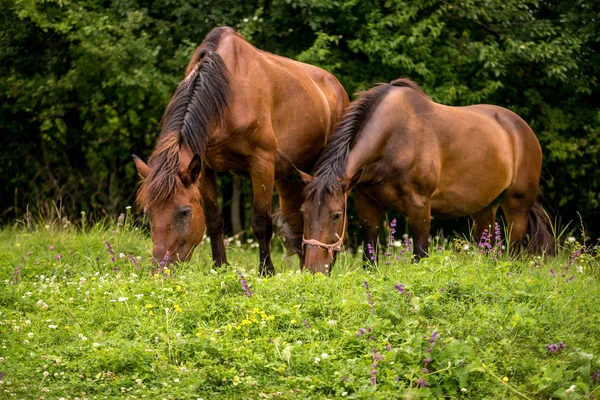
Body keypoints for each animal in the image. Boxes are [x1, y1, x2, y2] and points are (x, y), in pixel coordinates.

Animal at [131, 26, 346, 274]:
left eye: (184, 212)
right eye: (149, 212)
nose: (160, 269)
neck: (229, 90)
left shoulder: (261, 164)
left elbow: (261, 222)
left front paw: (266, 271)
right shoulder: (203, 168)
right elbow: (214, 219)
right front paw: (219, 266)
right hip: (290, 178)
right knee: (297, 222)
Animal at [298, 78, 552, 274]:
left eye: (336, 215)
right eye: (303, 212)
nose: (313, 270)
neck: (393, 138)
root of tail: (521, 129)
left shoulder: (419, 206)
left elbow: (420, 256)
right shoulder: (367, 204)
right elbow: (370, 260)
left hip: (516, 208)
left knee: (514, 253)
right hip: (484, 209)